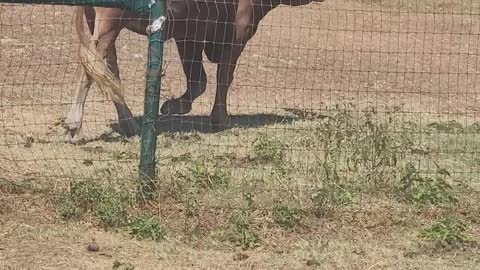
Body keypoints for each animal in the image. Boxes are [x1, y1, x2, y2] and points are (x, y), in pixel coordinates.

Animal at [64, 0, 326, 143]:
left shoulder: (189, 34)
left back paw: (130, 125)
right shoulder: (237, 34)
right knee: (88, 68)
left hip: (101, 24)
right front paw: (220, 119)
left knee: (108, 71)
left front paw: (173, 106)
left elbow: (198, 80)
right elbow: (223, 77)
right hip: (109, 23)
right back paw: (73, 122)